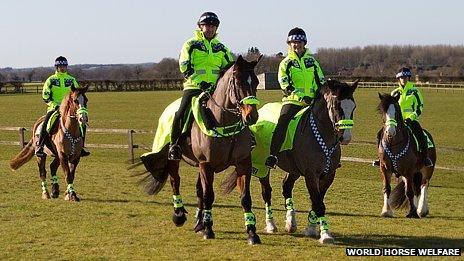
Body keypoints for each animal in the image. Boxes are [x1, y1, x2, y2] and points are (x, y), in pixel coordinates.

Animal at [137, 54, 260, 244]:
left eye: (256, 82)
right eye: (238, 83)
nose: (251, 116)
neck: (223, 121)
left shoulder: (243, 163)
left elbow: (245, 198)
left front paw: (252, 232)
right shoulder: (206, 164)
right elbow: (208, 195)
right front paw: (208, 230)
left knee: (198, 189)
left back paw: (199, 222)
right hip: (174, 159)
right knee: (175, 182)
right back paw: (179, 215)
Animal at [221, 78, 358, 242]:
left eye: (353, 107)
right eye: (337, 105)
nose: (346, 137)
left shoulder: (328, 175)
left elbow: (317, 201)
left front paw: (311, 229)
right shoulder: (311, 175)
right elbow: (318, 203)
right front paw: (325, 234)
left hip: (294, 169)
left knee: (286, 187)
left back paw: (291, 222)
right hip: (262, 167)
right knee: (267, 192)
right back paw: (271, 225)